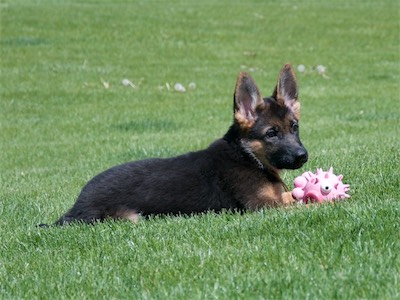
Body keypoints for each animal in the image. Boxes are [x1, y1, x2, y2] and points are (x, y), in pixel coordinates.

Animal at [53, 65, 308, 225]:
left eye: (294, 127)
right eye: (271, 133)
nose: (303, 156)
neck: (247, 156)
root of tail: (75, 208)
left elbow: (295, 198)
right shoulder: (264, 207)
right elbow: (303, 205)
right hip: (130, 217)